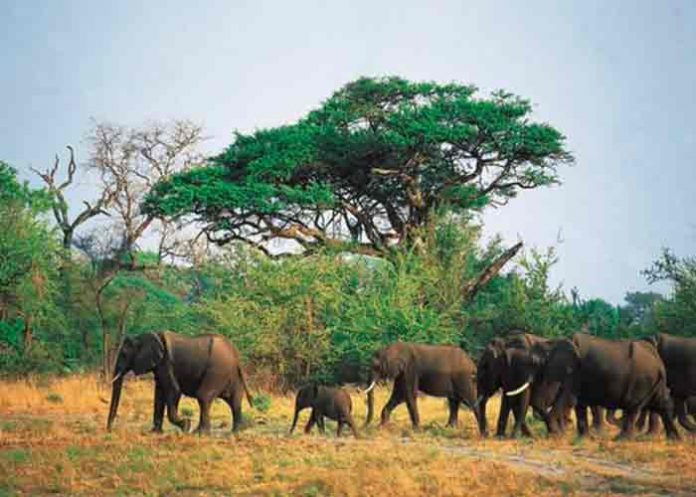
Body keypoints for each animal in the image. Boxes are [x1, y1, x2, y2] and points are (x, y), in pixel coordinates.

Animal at [107, 331, 253, 434]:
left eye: (124, 354)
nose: (109, 430)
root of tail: (235, 354)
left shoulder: (166, 363)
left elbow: (173, 390)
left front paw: (186, 426)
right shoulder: (160, 366)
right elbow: (159, 394)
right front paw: (154, 432)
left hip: (217, 370)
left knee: (203, 396)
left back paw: (199, 433)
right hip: (231, 374)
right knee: (234, 401)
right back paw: (236, 432)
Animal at [540, 334, 679, 440]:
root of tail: (658, 361)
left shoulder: (575, 372)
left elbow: (569, 398)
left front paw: (555, 436)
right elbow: (579, 404)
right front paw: (583, 439)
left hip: (642, 381)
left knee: (633, 407)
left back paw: (621, 440)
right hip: (653, 382)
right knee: (662, 404)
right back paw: (675, 439)